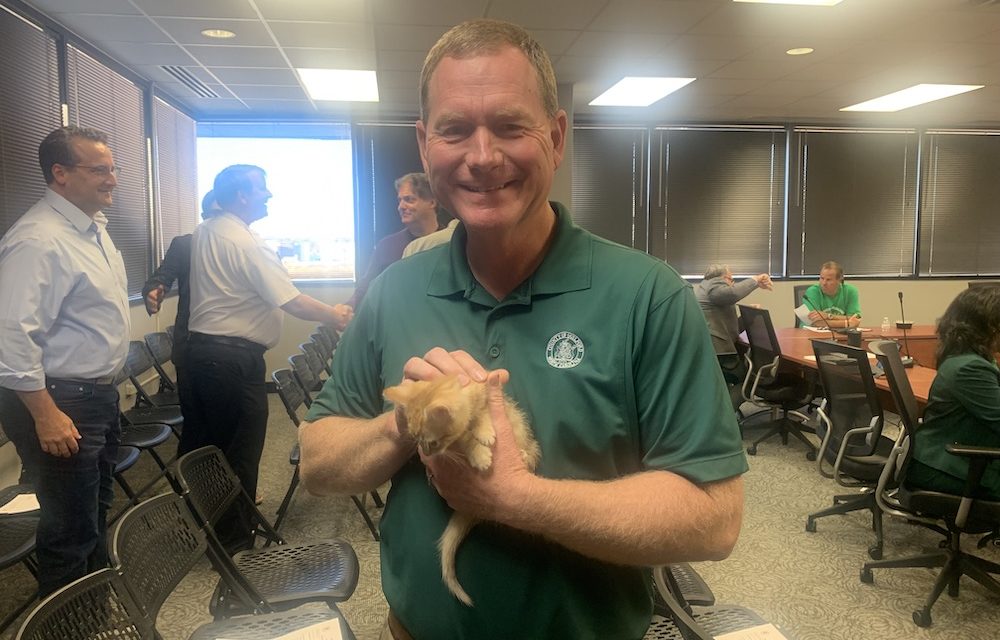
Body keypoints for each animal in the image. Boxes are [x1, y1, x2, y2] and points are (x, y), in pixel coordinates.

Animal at [382, 376, 540, 604]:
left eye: (433, 442)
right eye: (417, 440)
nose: (426, 453)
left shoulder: (486, 393)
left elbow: (483, 412)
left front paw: (484, 431)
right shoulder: (459, 435)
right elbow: (465, 437)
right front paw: (479, 453)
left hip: (526, 434)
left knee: (530, 452)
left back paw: (524, 455)